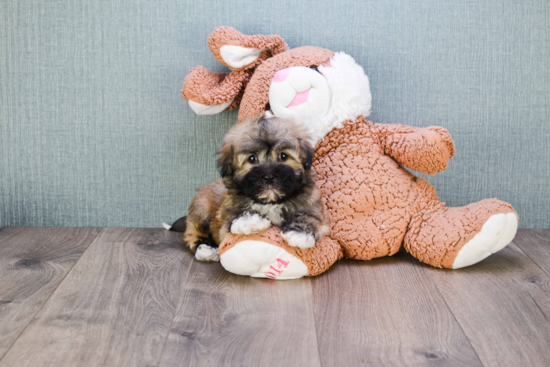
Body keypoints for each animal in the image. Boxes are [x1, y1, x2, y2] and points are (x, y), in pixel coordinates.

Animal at [172, 115, 330, 262]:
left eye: (283, 156)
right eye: (252, 159)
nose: (269, 176)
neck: (271, 201)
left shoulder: (312, 205)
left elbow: (311, 216)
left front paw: (299, 234)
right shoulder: (225, 214)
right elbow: (232, 218)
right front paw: (252, 221)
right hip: (201, 208)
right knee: (194, 233)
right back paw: (206, 249)